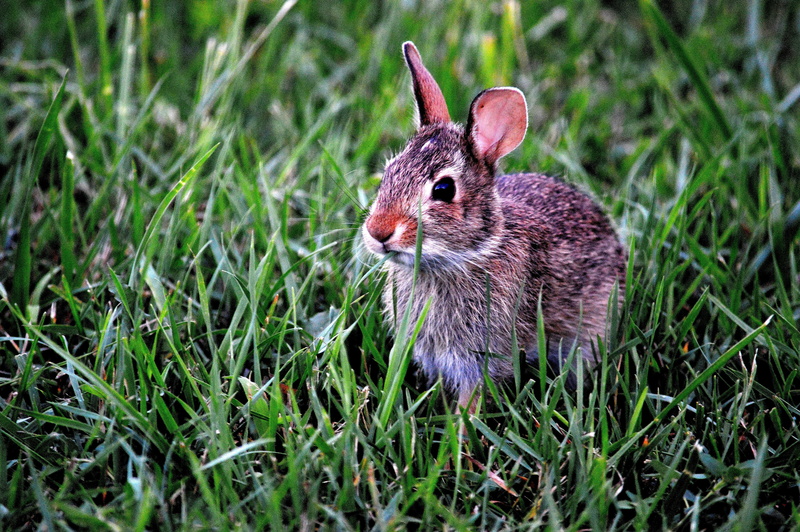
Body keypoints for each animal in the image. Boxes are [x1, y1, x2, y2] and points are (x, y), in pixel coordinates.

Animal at [362, 41, 627, 410]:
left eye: (443, 189)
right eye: (388, 172)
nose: (378, 232)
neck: (470, 254)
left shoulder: (483, 357)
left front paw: (462, 425)